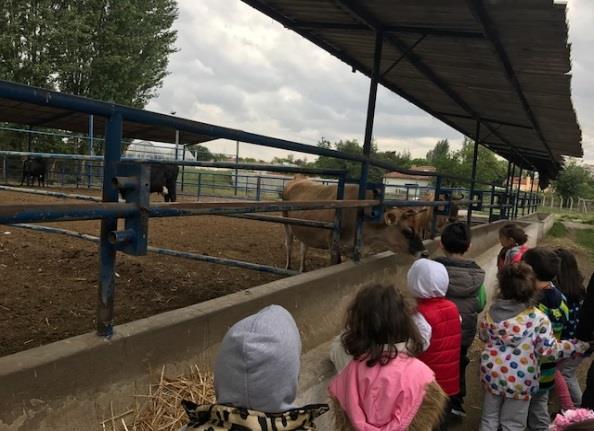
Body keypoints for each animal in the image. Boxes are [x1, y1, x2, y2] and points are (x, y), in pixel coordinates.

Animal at [282, 176, 426, 272]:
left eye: (418, 227)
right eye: (407, 231)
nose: (425, 253)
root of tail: (298, 179)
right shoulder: (334, 245)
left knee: (303, 247)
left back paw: (302, 269)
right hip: (286, 223)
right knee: (289, 245)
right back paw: (288, 267)